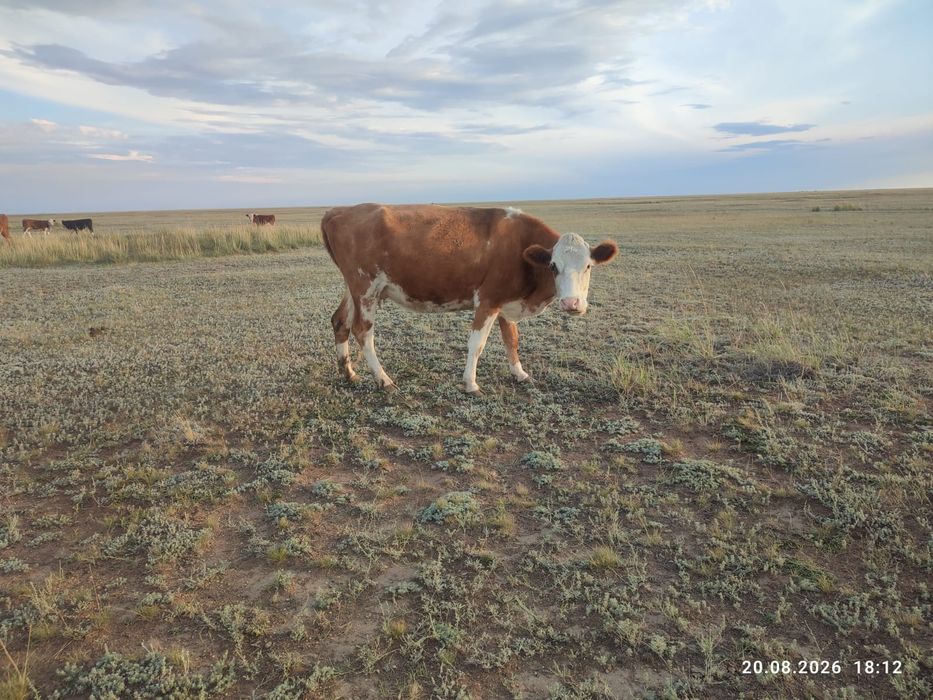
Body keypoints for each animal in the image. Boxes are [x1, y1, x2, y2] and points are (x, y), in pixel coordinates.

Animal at [321, 204, 618, 393]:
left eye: (588, 266)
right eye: (554, 266)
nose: (572, 304)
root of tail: (340, 210)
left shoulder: (506, 301)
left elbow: (511, 340)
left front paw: (520, 374)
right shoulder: (488, 300)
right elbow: (477, 344)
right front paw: (471, 383)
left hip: (353, 288)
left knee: (340, 322)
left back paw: (349, 373)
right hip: (366, 287)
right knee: (362, 330)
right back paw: (383, 380)